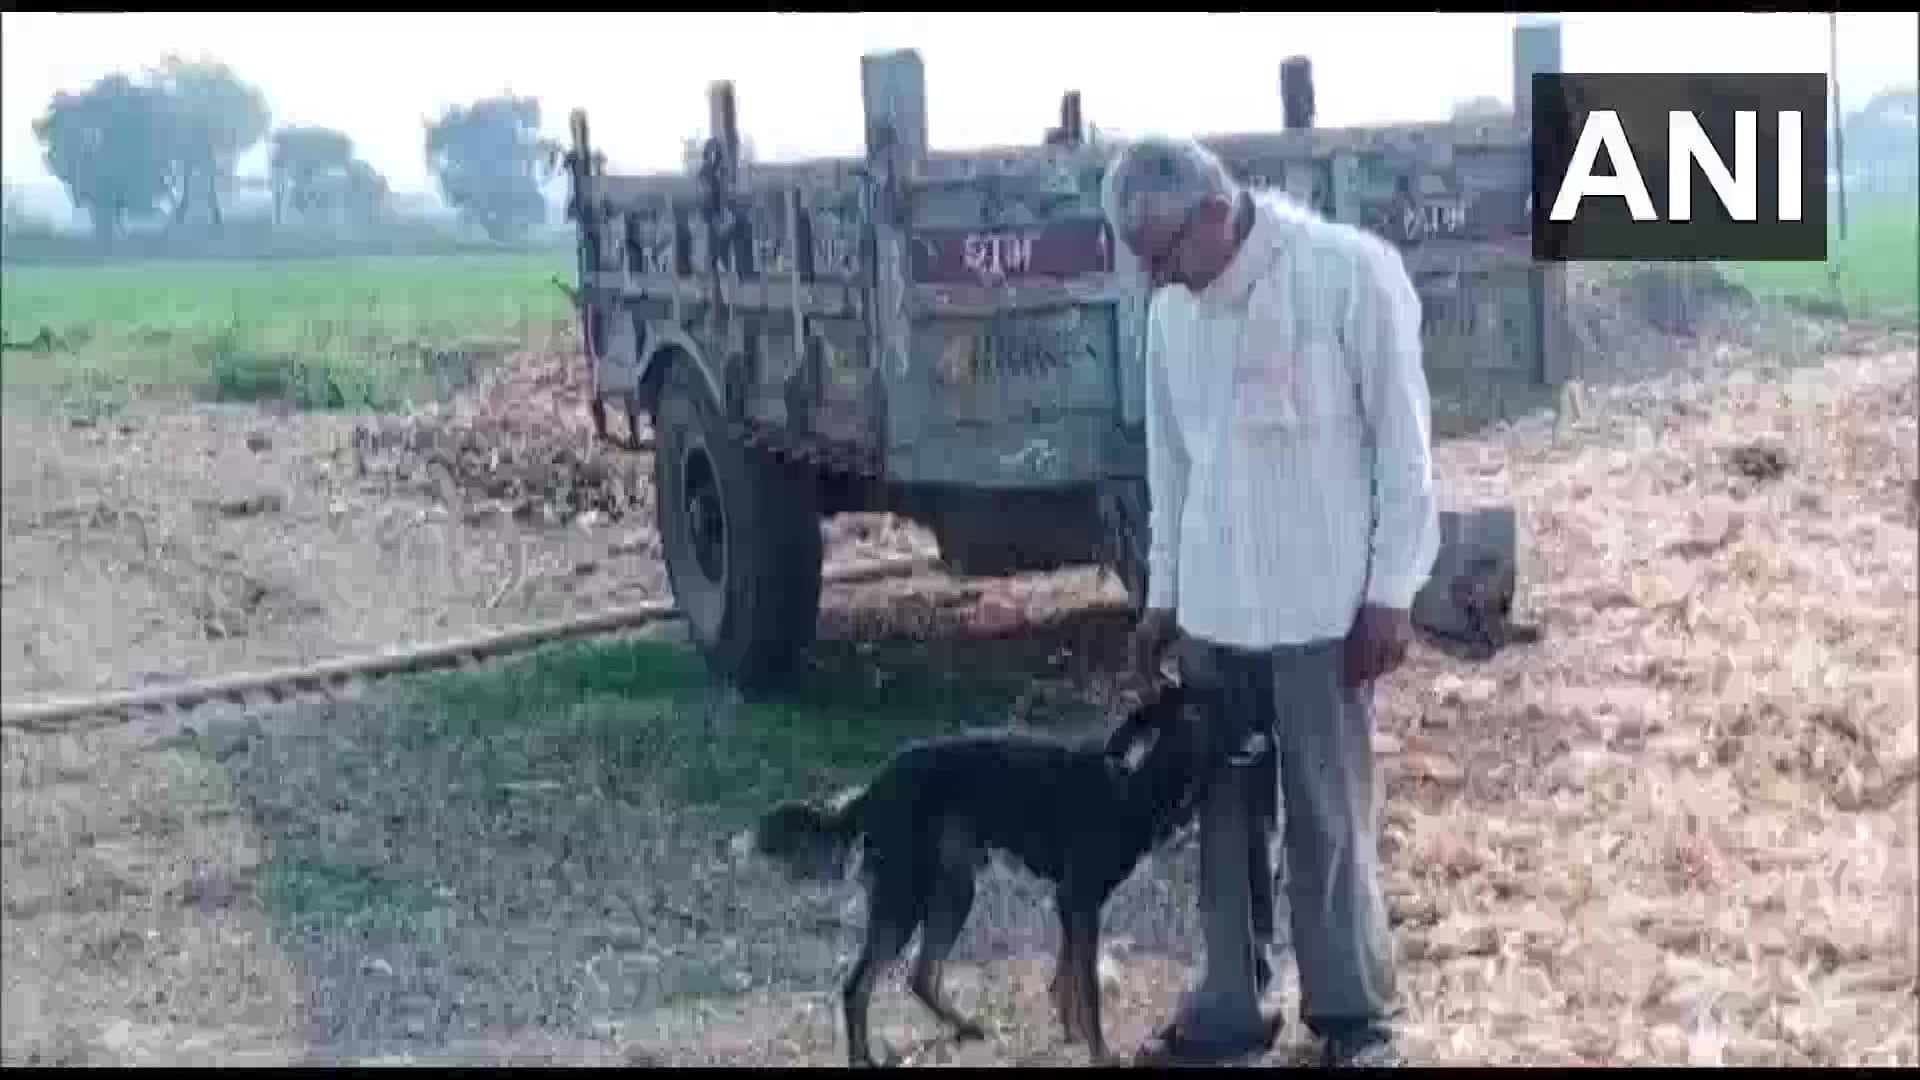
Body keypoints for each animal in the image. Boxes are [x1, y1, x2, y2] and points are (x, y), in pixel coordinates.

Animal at [752, 680, 1213, 1060]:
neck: (1132, 787)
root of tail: (874, 788)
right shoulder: (1080, 900)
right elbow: (1088, 989)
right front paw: (1100, 1051)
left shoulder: (1071, 903)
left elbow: (1066, 980)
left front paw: (1072, 1034)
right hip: (904, 898)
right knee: (857, 987)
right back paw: (864, 1057)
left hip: (953, 891)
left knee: (921, 976)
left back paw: (966, 1027)